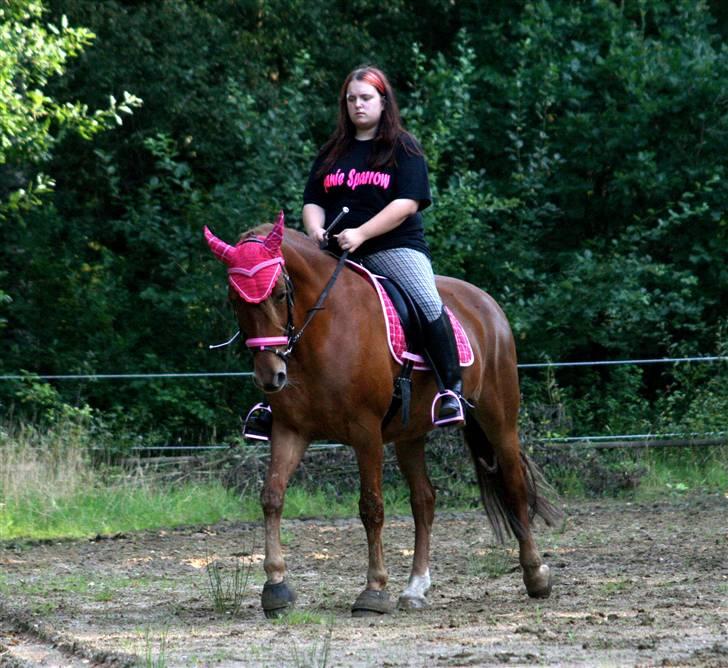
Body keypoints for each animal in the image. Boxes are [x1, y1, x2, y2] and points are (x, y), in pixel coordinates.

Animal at [206, 214, 564, 616]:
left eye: (280, 294)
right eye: (234, 300)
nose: (271, 376)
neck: (321, 333)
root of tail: (486, 303)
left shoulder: (366, 432)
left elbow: (371, 507)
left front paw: (374, 590)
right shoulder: (290, 430)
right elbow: (271, 496)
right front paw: (276, 588)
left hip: (499, 419)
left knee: (514, 485)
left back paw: (535, 575)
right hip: (411, 433)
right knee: (424, 500)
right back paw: (415, 588)